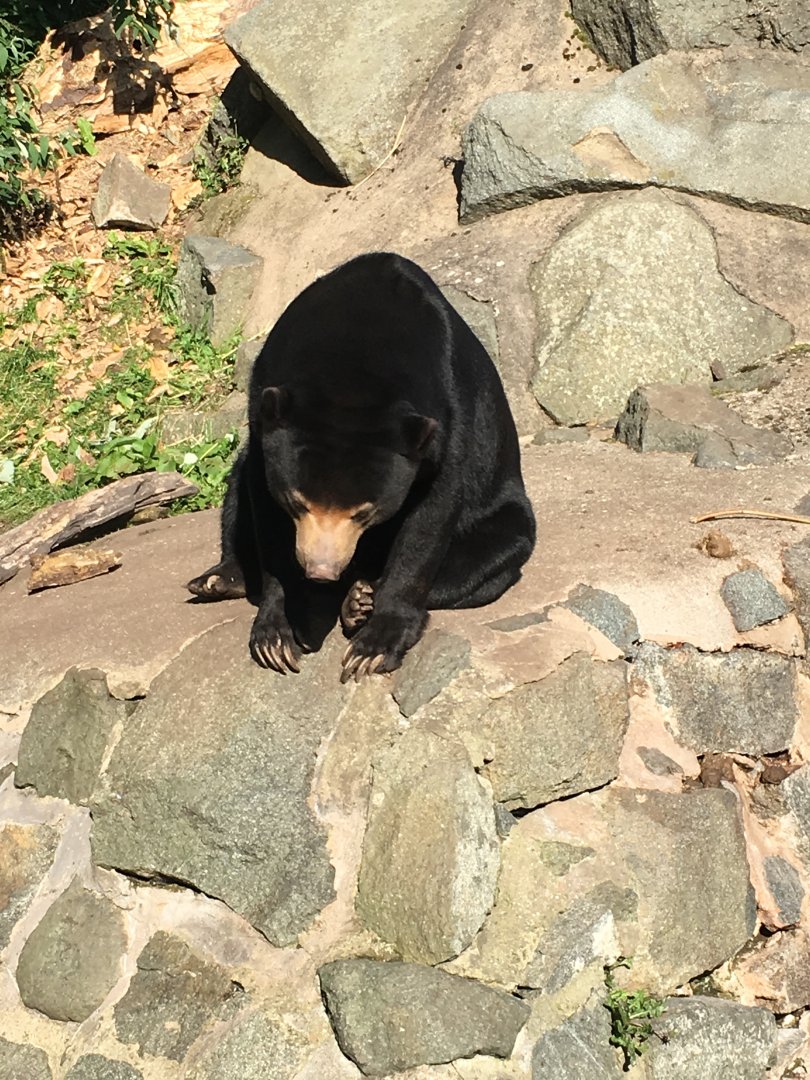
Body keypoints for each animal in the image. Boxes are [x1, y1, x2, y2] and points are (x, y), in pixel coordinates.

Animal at [187, 252, 535, 682]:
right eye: (297, 503)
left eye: (364, 513)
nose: (321, 571)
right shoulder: (263, 414)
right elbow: (264, 507)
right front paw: (278, 635)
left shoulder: (447, 423)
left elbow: (430, 518)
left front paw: (374, 647)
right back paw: (220, 579)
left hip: (504, 520)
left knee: (489, 556)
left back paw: (360, 599)